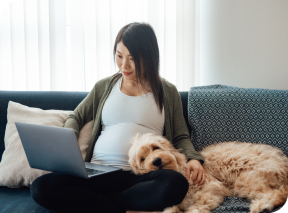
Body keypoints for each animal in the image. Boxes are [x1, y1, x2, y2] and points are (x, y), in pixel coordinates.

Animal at [127, 133, 288, 213]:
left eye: (155, 147)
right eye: (143, 159)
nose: (156, 161)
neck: (180, 170)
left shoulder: (210, 186)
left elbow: (199, 202)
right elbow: (170, 209)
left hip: (246, 179)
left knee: (278, 194)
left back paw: (263, 206)